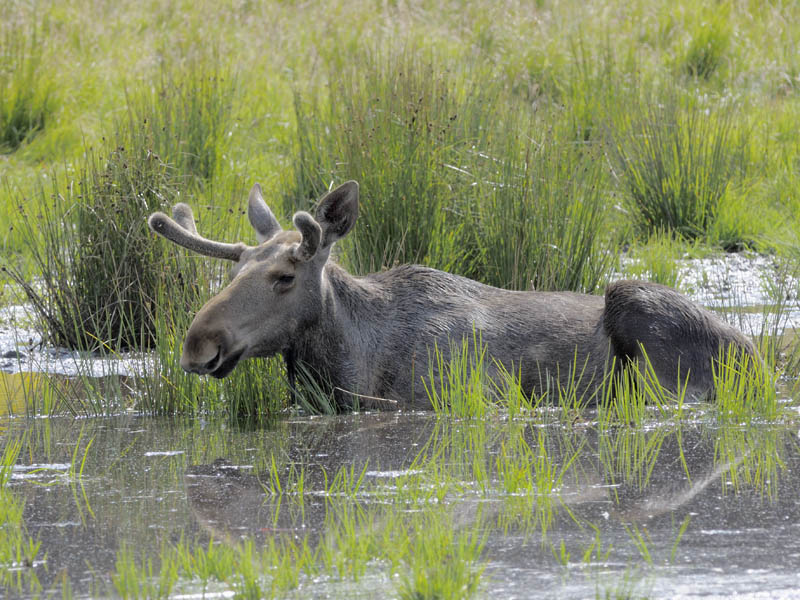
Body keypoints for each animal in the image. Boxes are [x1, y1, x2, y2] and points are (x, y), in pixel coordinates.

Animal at [147, 180, 758, 410]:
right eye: (233, 270)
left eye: (284, 277)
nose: (199, 343)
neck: (350, 360)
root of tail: (757, 356)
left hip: (637, 310)